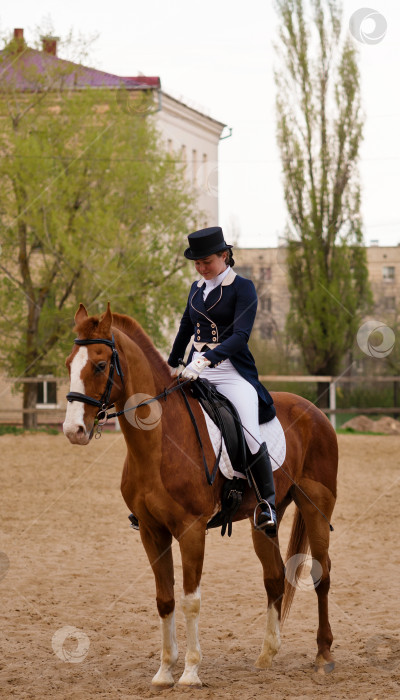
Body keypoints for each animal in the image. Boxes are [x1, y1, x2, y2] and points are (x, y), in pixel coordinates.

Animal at [62, 304, 338, 688]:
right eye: (69, 364)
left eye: (100, 365)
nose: (73, 430)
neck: (159, 442)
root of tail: (315, 412)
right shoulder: (152, 532)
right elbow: (165, 599)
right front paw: (164, 671)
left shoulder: (191, 530)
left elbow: (190, 599)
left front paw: (191, 672)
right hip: (266, 518)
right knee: (274, 577)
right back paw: (266, 656)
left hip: (317, 506)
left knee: (321, 574)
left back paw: (323, 654)